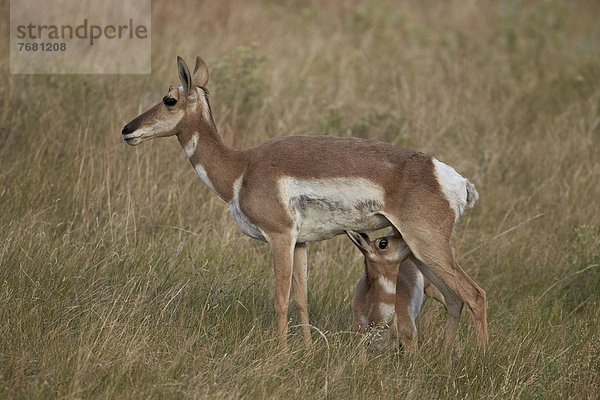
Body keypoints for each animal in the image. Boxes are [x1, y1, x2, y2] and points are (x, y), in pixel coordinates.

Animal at [120, 55, 488, 350]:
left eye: (169, 99)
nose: (127, 130)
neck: (241, 167)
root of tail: (452, 178)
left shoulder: (280, 237)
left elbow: (281, 299)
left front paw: (281, 354)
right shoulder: (301, 244)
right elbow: (301, 299)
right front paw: (308, 350)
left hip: (429, 246)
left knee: (475, 295)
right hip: (418, 252)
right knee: (454, 300)